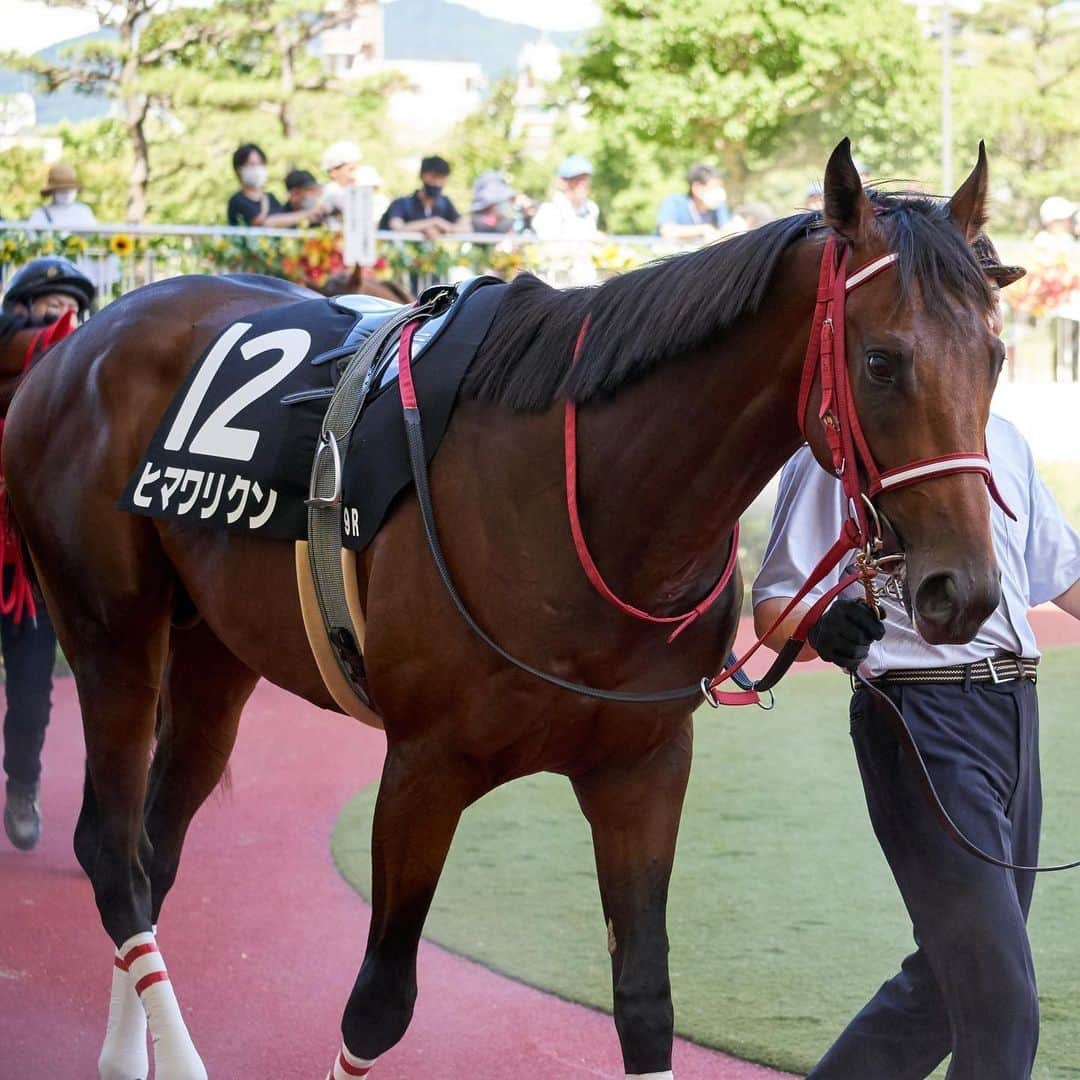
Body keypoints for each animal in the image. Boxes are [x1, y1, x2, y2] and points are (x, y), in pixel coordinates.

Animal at [6, 139, 1002, 1075]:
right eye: (881, 361)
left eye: (995, 356)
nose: (965, 589)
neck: (591, 508)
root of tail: (79, 341)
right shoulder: (422, 770)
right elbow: (378, 1004)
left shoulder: (644, 767)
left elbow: (645, 999)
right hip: (111, 631)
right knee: (110, 849)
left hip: (215, 651)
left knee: (155, 847)